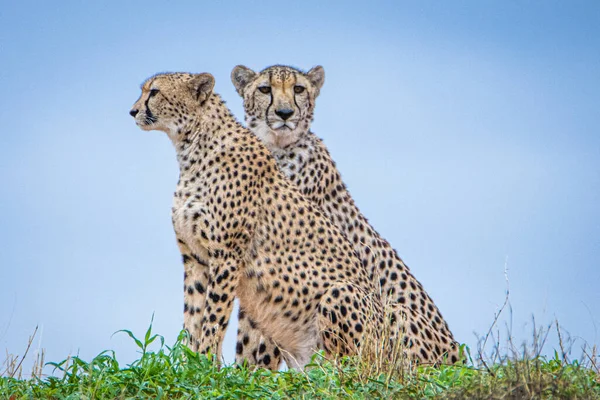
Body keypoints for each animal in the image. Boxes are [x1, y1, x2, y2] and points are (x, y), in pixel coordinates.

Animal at [129, 72, 394, 368]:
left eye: (154, 92)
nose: (133, 111)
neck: (192, 148)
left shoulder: (226, 255)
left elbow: (214, 316)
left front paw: (207, 362)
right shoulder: (194, 258)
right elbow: (192, 316)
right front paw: (190, 363)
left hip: (342, 296)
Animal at [232, 65, 462, 368]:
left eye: (298, 89)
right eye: (264, 89)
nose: (284, 113)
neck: (278, 148)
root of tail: (458, 358)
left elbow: (256, 340)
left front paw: (248, 374)